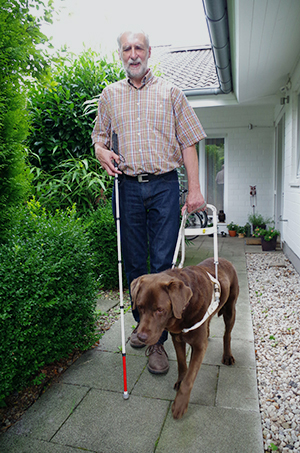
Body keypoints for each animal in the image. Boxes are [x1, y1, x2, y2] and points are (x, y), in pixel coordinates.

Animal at [131, 256, 239, 418]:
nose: (141, 337)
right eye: (139, 306)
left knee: (227, 334)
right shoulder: (177, 339)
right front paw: (180, 381)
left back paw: (227, 356)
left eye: (160, 310)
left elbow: (189, 378)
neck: (183, 312)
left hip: (230, 309)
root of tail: (223, 259)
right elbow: (182, 364)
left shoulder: (199, 347)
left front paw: (180, 404)